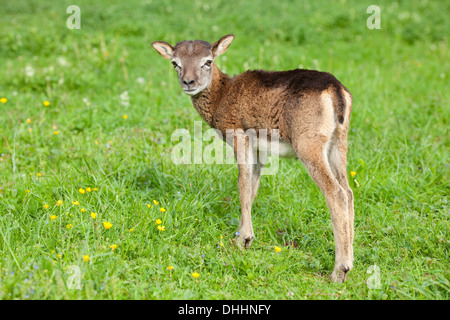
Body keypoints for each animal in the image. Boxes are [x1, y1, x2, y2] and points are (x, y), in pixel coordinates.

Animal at [153, 33, 354, 282]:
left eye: (208, 61)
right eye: (175, 63)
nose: (188, 82)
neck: (221, 98)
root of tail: (336, 91)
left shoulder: (238, 134)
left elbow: (242, 183)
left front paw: (243, 240)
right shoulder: (260, 151)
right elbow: (252, 187)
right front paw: (240, 236)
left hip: (309, 143)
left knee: (336, 192)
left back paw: (339, 270)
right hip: (339, 142)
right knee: (348, 191)